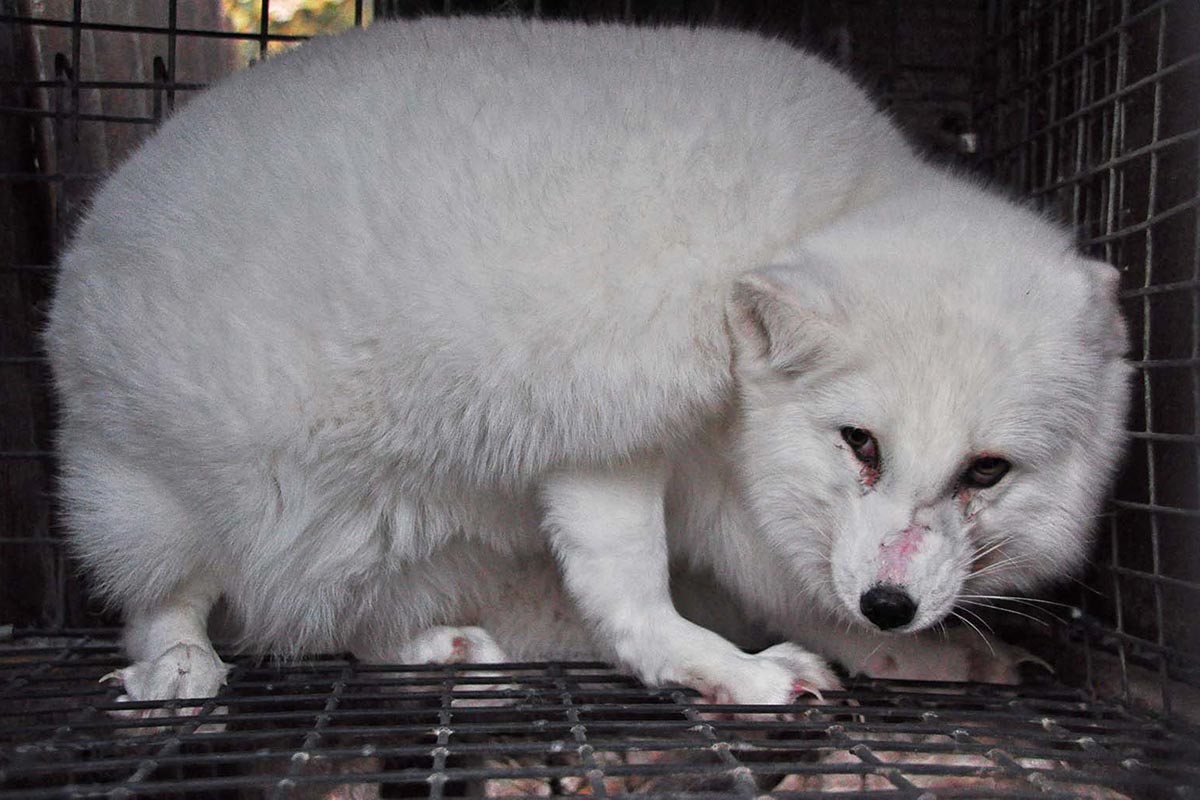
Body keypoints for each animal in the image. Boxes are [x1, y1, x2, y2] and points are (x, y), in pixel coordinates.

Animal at [44, 15, 1132, 710]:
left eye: (986, 470)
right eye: (858, 442)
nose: (891, 605)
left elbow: (782, 594)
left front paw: (913, 654)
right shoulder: (609, 425)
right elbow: (630, 595)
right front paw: (730, 671)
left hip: (388, 548)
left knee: (336, 625)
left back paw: (433, 648)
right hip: (147, 492)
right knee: (164, 603)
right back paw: (178, 667)